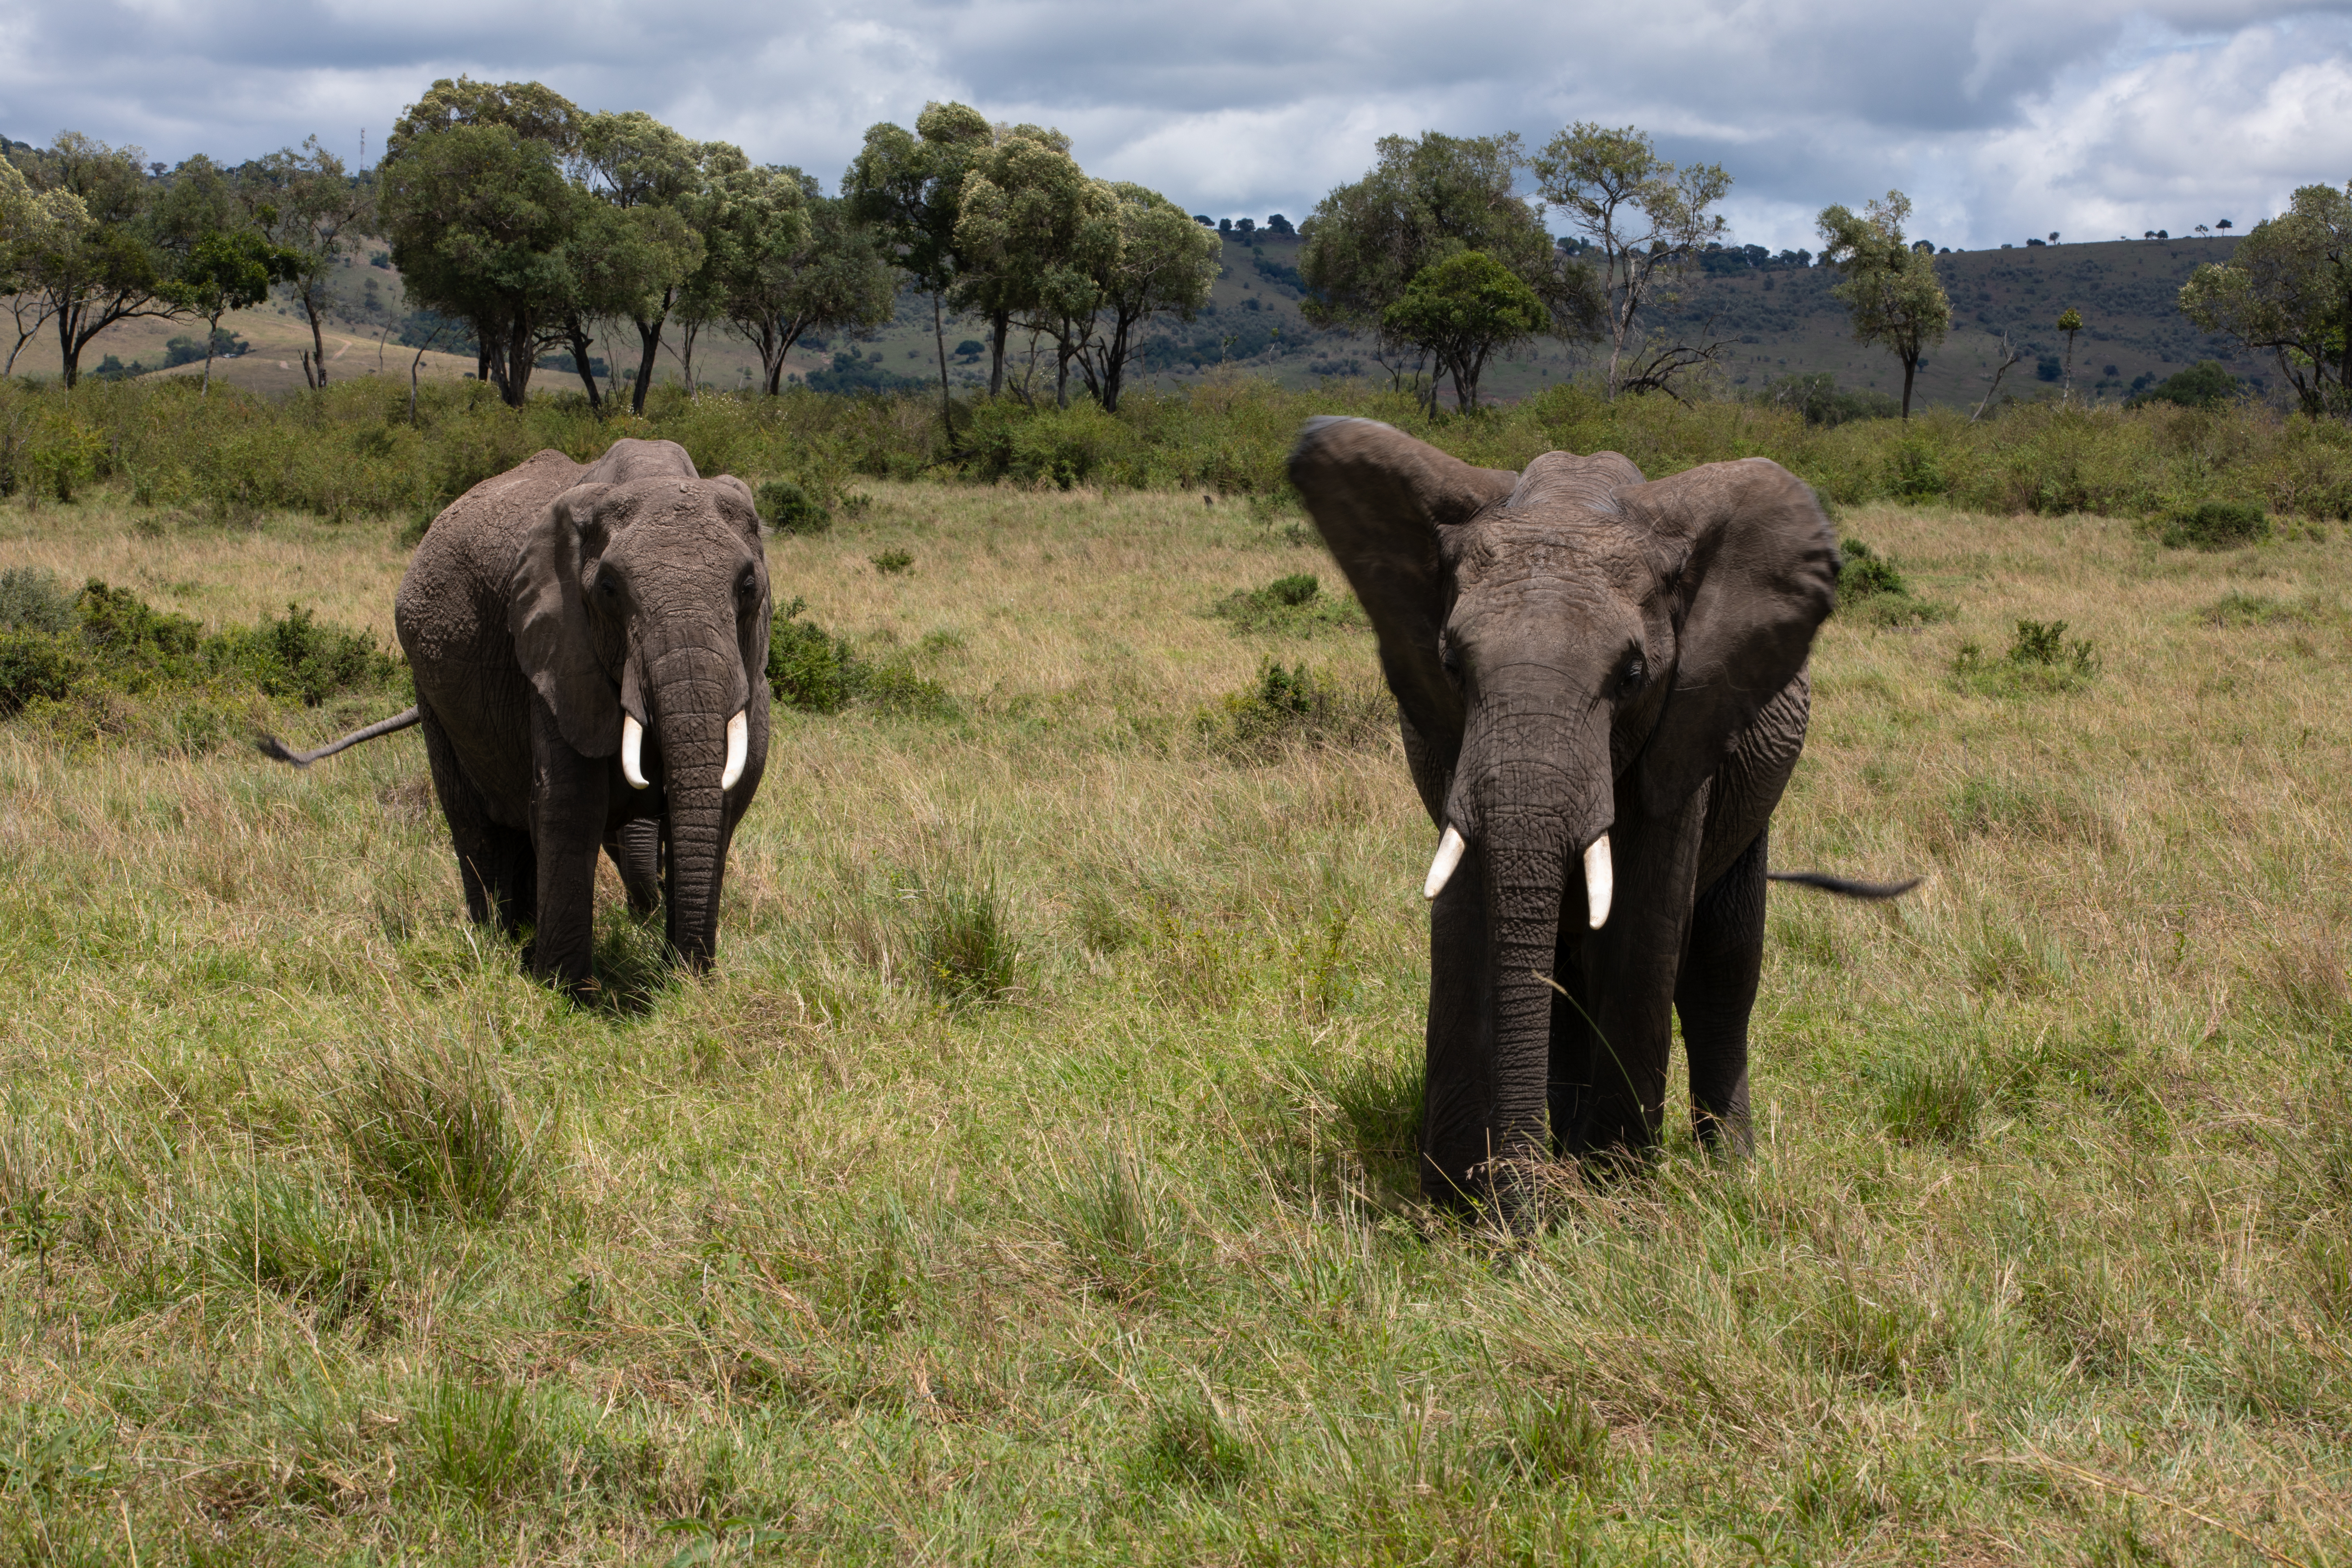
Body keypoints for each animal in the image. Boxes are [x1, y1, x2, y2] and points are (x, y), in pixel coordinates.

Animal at [260, 437, 773, 992]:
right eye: (609, 589)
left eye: (748, 587)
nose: (686, 973)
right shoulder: (552, 653)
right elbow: (570, 802)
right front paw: (568, 991)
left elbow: (727, 798)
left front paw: (688, 983)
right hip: (432, 693)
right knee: (474, 821)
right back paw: (497, 940)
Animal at [1289, 417, 1910, 1209]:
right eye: (1453, 665)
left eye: (1633, 675)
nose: (1522, 1203)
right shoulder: (1448, 741)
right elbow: (1466, 915)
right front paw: (1459, 1200)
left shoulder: (1686, 723)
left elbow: (1644, 924)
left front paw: (1612, 1189)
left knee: (1721, 966)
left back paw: (1723, 1169)